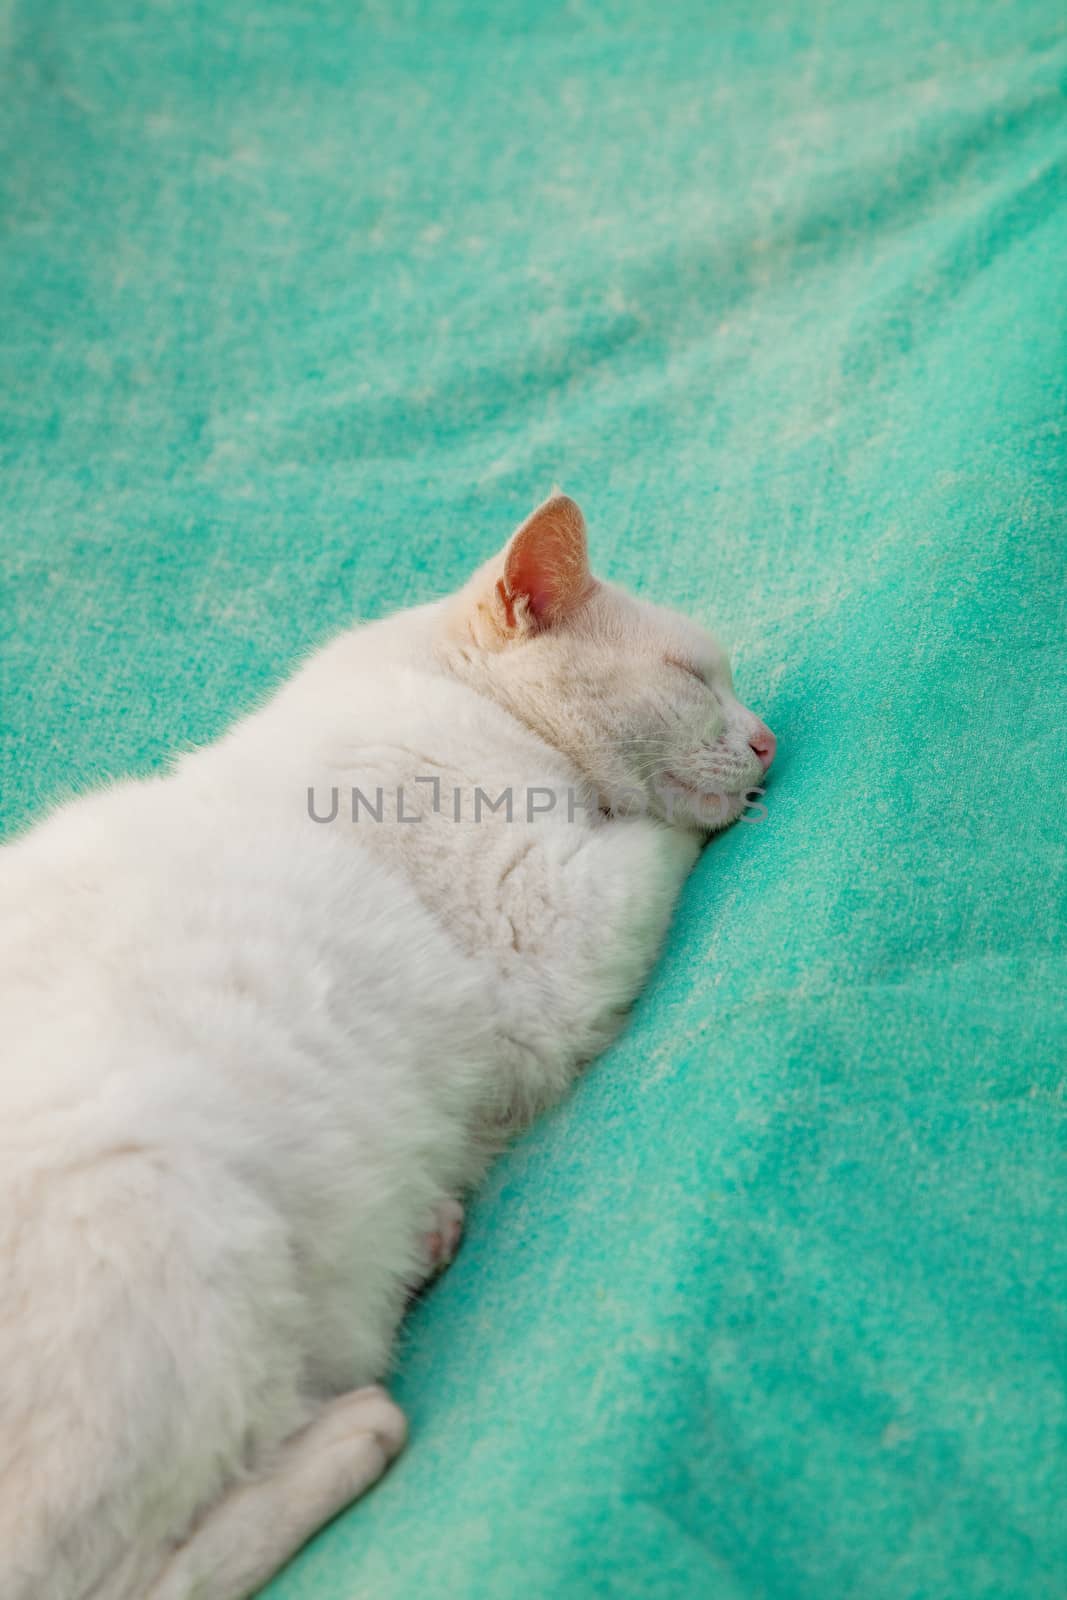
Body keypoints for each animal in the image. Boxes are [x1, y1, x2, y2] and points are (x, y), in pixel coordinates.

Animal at [0, 496, 771, 1600]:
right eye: (691, 677)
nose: (766, 738)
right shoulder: (545, 916)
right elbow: (656, 840)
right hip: (152, 1199)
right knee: (122, 1572)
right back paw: (356, 1423)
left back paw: (423, 1240)